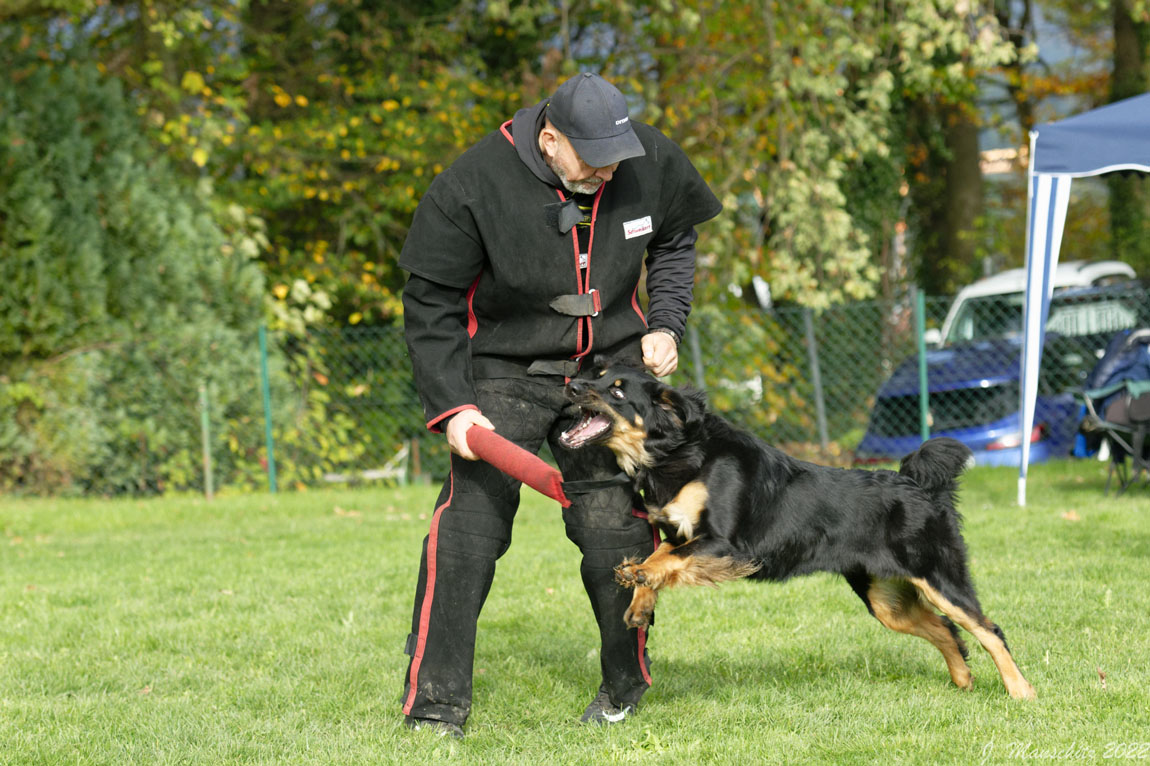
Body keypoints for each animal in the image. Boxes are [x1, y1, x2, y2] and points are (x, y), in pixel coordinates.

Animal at [561, 361, 1039, 699]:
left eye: (616, 389)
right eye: (595, 375)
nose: (569, 385)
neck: (677, 452)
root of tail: (918, 484)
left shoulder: (727, 545)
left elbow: (668, 560)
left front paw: (639, 575)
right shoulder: (680, 533)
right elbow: (661, 557)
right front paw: (639, 598)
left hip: (937, 575)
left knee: (988, 630)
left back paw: (1021, 691)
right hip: (886, 599)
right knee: (945, 629)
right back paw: (963, 681)